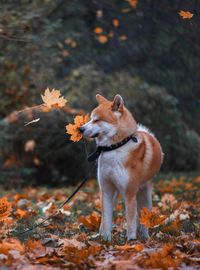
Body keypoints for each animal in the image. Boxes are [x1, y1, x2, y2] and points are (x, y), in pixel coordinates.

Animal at [79, 94, 163, 240]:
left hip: (144, 193)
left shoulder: (129, 194)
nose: (80, 129)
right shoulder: (106, 190)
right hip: (114, 192)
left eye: (97, 120)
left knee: (144, 215)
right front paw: (106, 240)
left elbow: (130, 223)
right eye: (90, 119)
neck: (115, 148)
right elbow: (107, 219)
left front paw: (131, 241)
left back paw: (144, 236)